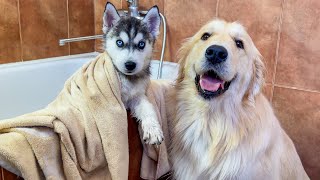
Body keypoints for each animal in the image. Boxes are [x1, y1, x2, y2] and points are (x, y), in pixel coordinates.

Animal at [102, 2, 162, 144]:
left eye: (141, 44)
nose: (130, 64)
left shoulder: (136, 97)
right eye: (119, 42)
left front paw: (153, 129)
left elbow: (147, 108)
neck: (128, 79)